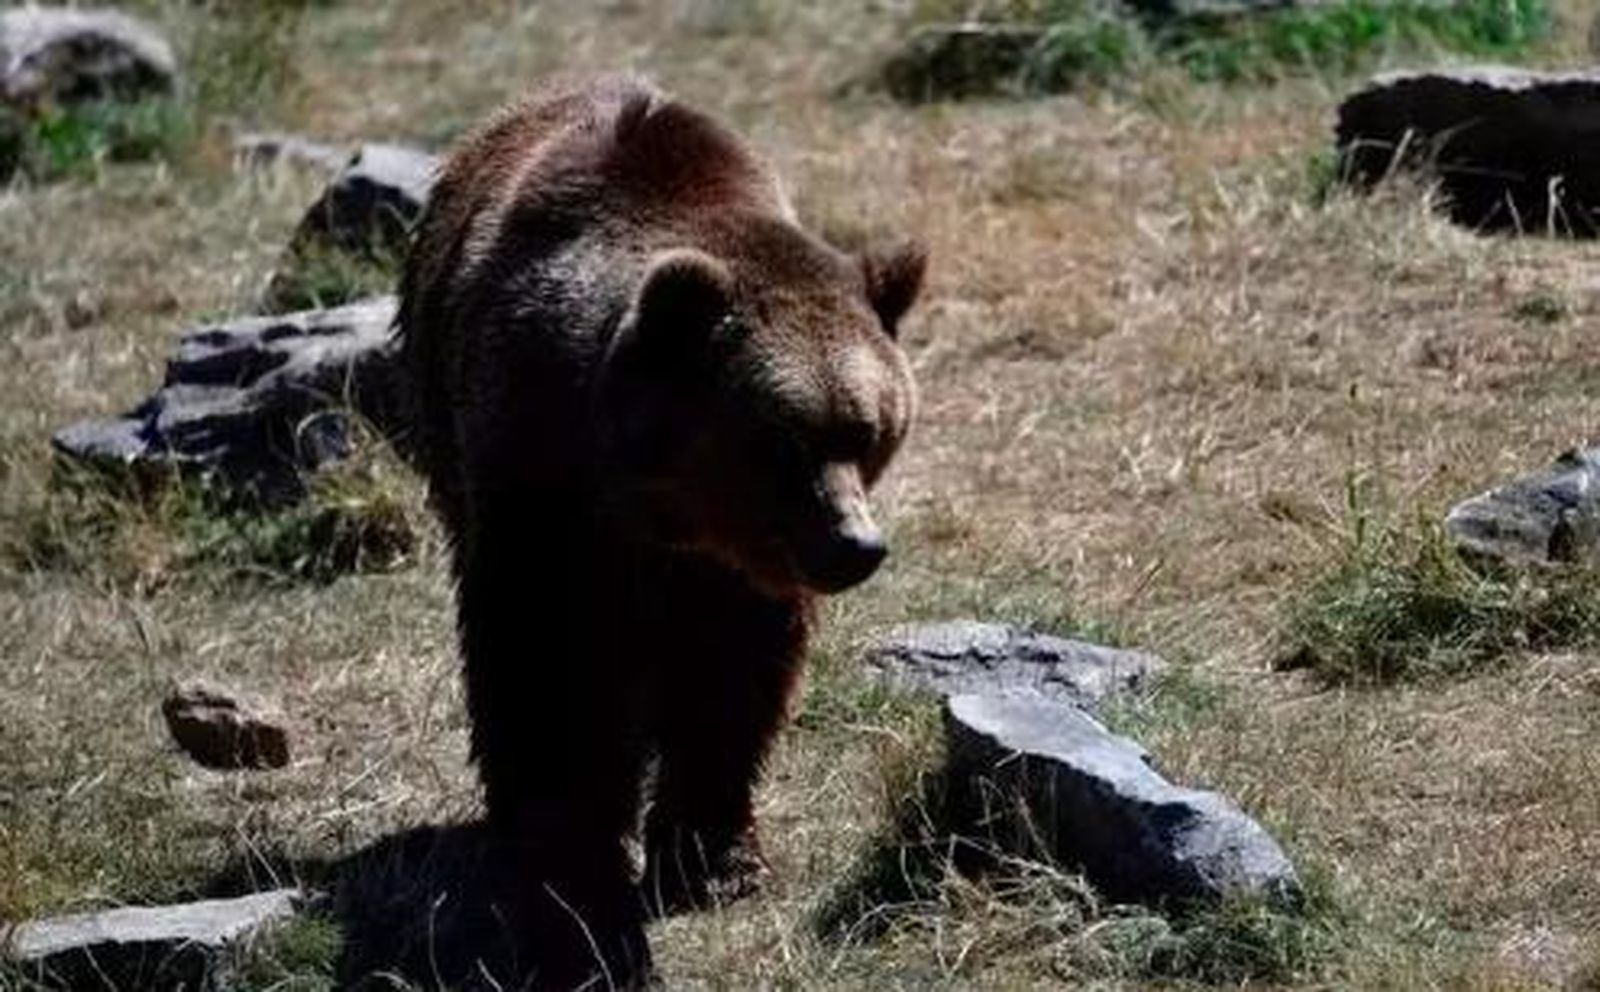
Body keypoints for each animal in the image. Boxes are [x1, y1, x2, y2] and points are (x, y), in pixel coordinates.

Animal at [396, 75, 925, 989]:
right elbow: (549, 671)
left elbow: (731, 677)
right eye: (784, 439)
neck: (662, 506)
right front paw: (570, 878)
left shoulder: (735, 568)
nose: (856, 547)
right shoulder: (540, 491)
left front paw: (711, 856)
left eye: (867, 430)